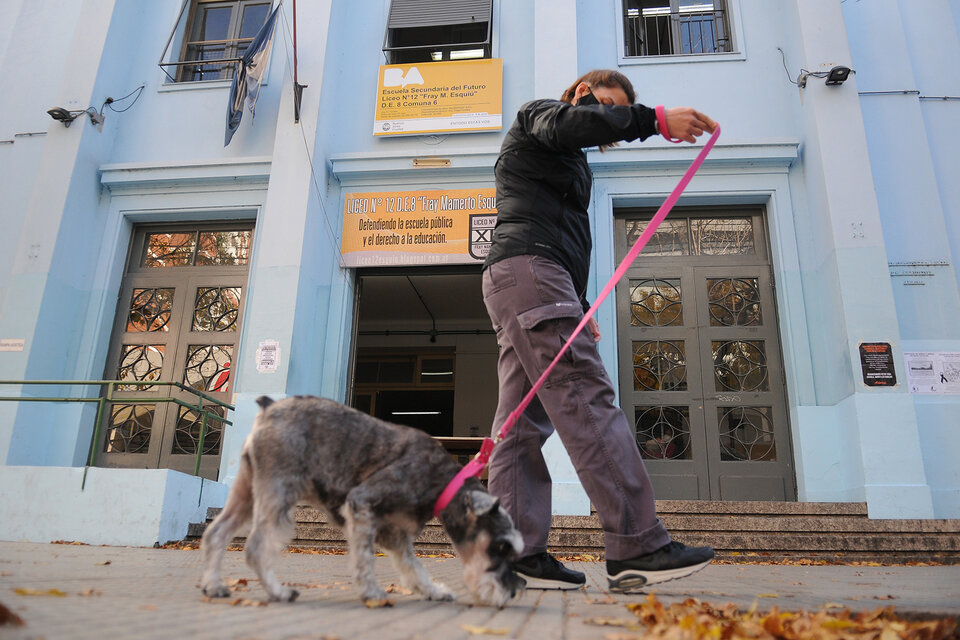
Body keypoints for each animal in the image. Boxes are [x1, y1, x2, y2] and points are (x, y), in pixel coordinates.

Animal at [197, 392, 524, 608]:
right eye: (501, 546)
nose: (512, 592)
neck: (443, 482)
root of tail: (270, 406)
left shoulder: (394, 533)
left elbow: (413, 566)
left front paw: (433, 590)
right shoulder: (362, 505)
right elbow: (365, 558)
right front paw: (373, 593)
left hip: (247, 494)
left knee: (217, 533)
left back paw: (214, 586)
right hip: (278, 492)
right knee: (255, 547)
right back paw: (279, 592)